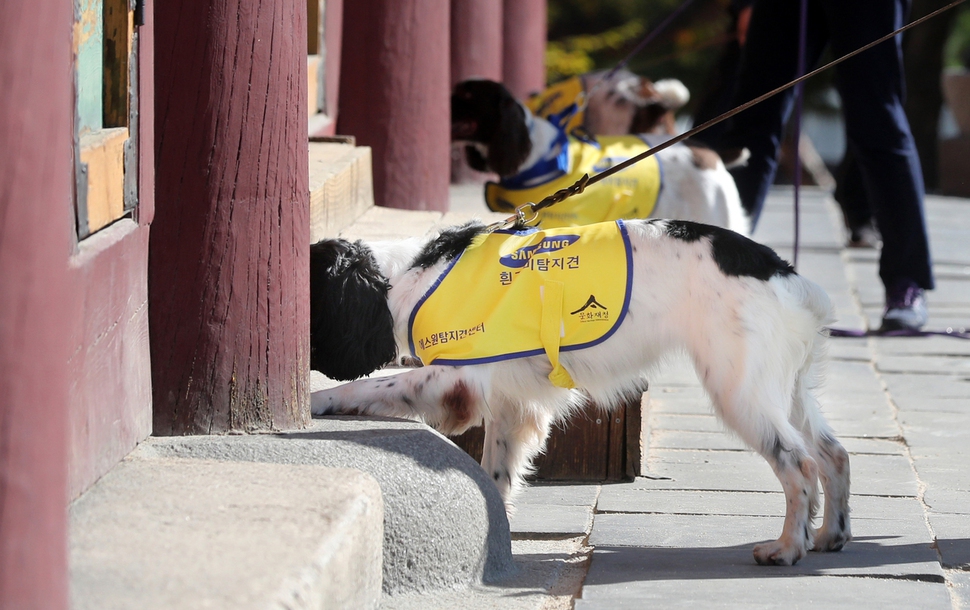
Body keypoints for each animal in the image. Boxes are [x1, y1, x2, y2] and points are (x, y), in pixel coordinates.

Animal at [308, 216, 848, 564]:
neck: (406, 274)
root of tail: (785, 274)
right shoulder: (512, 404)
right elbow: (495, 476)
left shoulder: (455, 378)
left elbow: (366, 386)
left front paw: (314, 401)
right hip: (787, 392)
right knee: (833, 454)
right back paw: (830, 536)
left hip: (740, 392)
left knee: (799, 464)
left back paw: (788, 547)